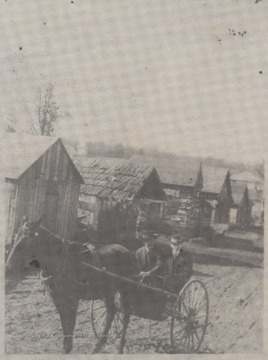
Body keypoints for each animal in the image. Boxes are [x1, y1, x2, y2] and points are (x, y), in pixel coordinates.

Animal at [6, 218, 136, 352]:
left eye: (24, 241)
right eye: (14, 239)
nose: (7, 268)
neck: (61, 262)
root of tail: (127, 251)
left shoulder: (72, 299)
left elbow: (70, 322)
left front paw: (68, 348)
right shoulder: (57, 298)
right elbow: (64, 321)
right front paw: (65, 347)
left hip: (125, 290)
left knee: (126, 315)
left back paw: (120, 346)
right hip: (108, 292)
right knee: (111, 311)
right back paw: (98, 345)